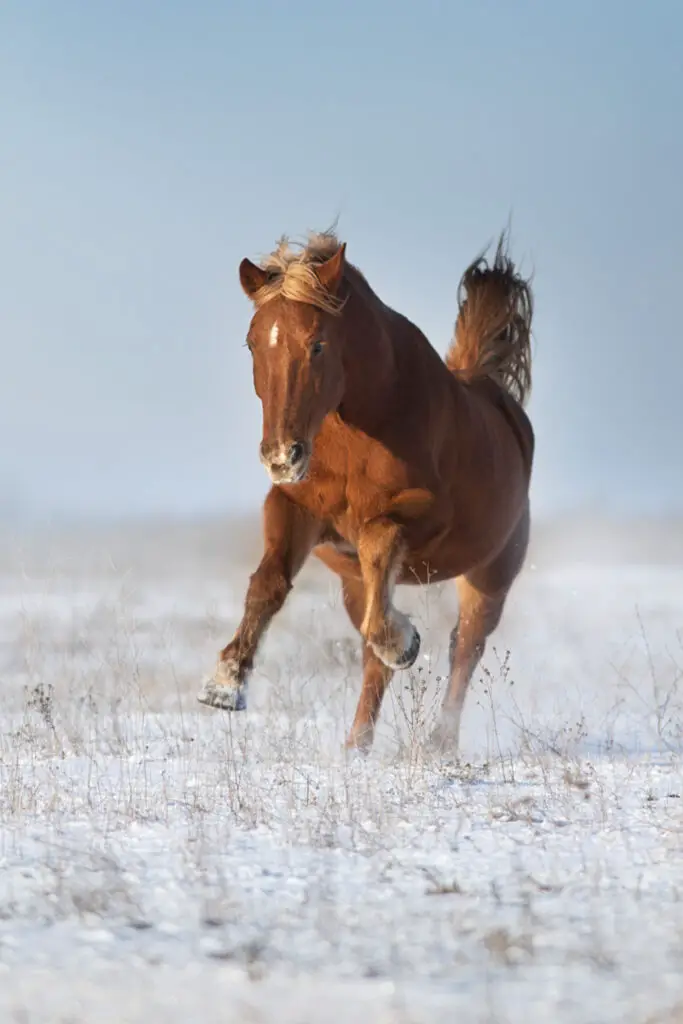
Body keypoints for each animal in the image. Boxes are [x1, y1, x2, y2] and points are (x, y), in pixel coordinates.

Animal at [197, 228, 532, 749]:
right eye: (252, 343)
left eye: (317, 344)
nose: (281, 455)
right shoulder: (295, 508)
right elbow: (268, 584)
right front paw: (225, 682)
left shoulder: (415, 517)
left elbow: (377, 546)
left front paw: (406, 641)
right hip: (355, 584)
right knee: (376, 656)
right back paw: (356, 745)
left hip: (490, 573)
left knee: (465, 645)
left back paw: (439, 741)